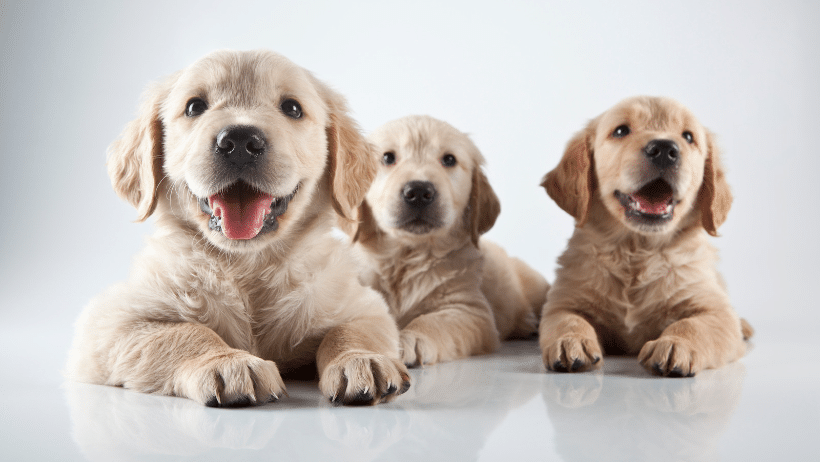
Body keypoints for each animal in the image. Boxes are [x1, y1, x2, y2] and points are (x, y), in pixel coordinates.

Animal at [65, 48, 410, 406]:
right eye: (194, 106)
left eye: (292, 108)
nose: (240, 140)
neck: (248, 265)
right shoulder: (108, 321)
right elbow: (185, 332)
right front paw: (229, 363)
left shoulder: (362, 304)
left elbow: (351, 330)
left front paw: (360, 360)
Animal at [342, 116, 548, 368]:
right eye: (388, 158)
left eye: (449, 160)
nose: (418, 192)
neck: (406, 256)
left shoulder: (468, 310)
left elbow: (432, 322)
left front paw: (410, 339)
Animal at [540, 96, 752, 376]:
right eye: (621, 131)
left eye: (688, 136)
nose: (664, 149)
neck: (637, 250)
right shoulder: (563, 301)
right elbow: (567, 319)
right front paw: (570, 341)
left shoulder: (716, 311)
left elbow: (692, 325)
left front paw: (675, 345)